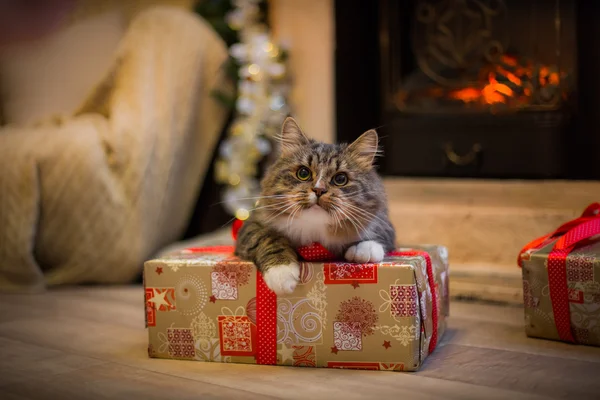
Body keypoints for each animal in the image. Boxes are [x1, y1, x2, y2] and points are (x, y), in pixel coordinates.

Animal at [236, 115, 398, 294]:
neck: (315, 228)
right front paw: (282, 273)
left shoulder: (384, 224)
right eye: (303, 173)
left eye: (340, 179)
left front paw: (362, 250)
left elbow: (376, 239)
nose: (319, 190)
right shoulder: (251, 225)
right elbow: (267, 238)